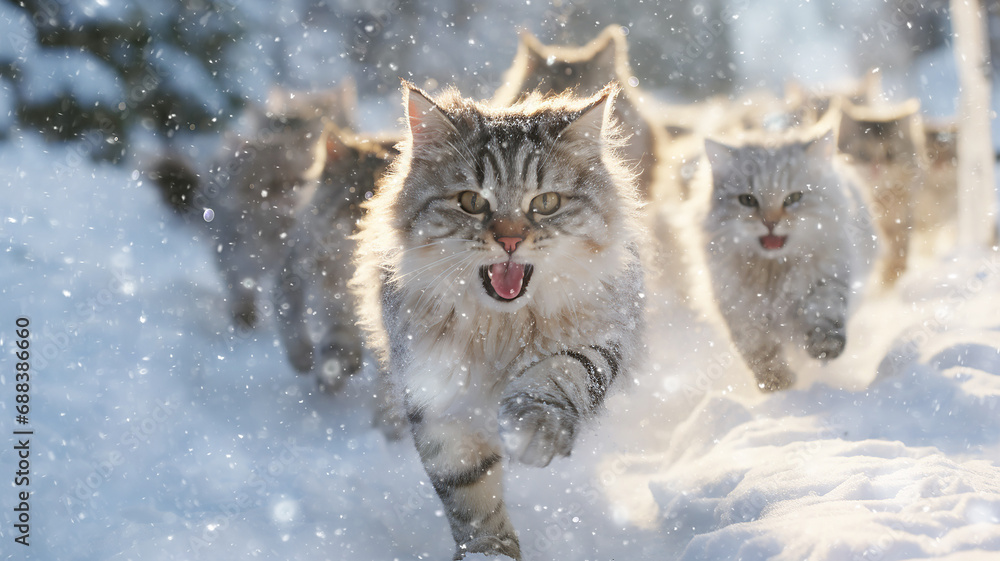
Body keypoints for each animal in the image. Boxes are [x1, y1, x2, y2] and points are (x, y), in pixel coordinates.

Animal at [354, 83, 648, 560]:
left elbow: (560, 373)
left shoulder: (603, 335)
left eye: (546, 202)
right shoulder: (433, 390)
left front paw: (533, 428)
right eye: (472, 201)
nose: (509, 240)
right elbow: (469, 496)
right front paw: (488, 552)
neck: (501, 331)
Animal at [696, 130, 876, 392]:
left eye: (793, 198)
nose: (770, 223)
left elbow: (825, 311)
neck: (775, 269)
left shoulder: (828, 275)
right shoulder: (740, 307)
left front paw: (824, 347)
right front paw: (778, 385)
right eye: (747, 200)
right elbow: (761, 353)